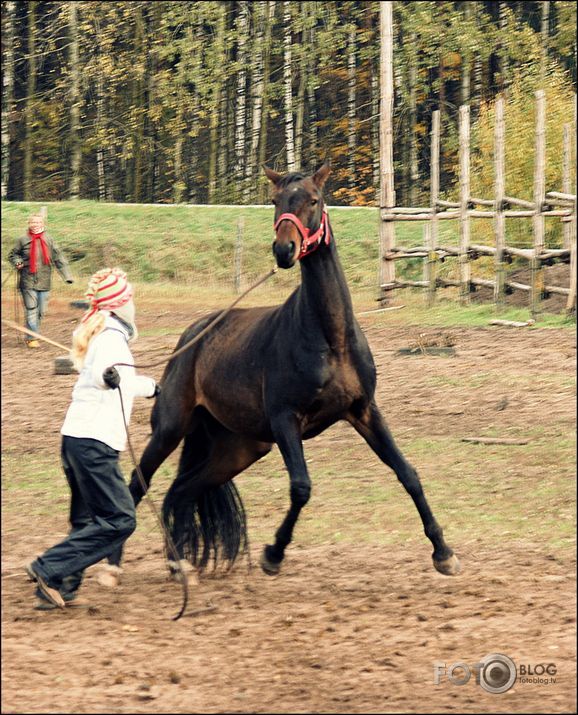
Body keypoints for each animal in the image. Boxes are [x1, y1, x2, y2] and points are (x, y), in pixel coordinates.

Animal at [107, 165, 460, 584]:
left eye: (314, 199)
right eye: (276, 201)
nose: (284, 250)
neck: (331, 338)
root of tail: (193, 336)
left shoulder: (364, 411)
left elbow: (408, 473)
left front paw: (443, 553)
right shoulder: (286, 420)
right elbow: (301, 488)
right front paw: (273, 554)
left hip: (240, 449)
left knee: (181, 491)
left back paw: (179, 564)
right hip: (170, 430)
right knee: (137, 485)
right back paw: (112, 566)